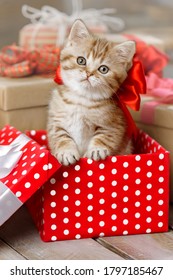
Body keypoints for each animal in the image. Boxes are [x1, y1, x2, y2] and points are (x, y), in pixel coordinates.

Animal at [47, 19, 135, 166]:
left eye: (103, 69)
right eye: (81, 60)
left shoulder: (114, 123)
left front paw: (97, 149)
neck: (82, 99)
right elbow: (60, 136)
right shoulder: (55, 121)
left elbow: (105, 136)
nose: (88, 73)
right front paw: (66, 152)